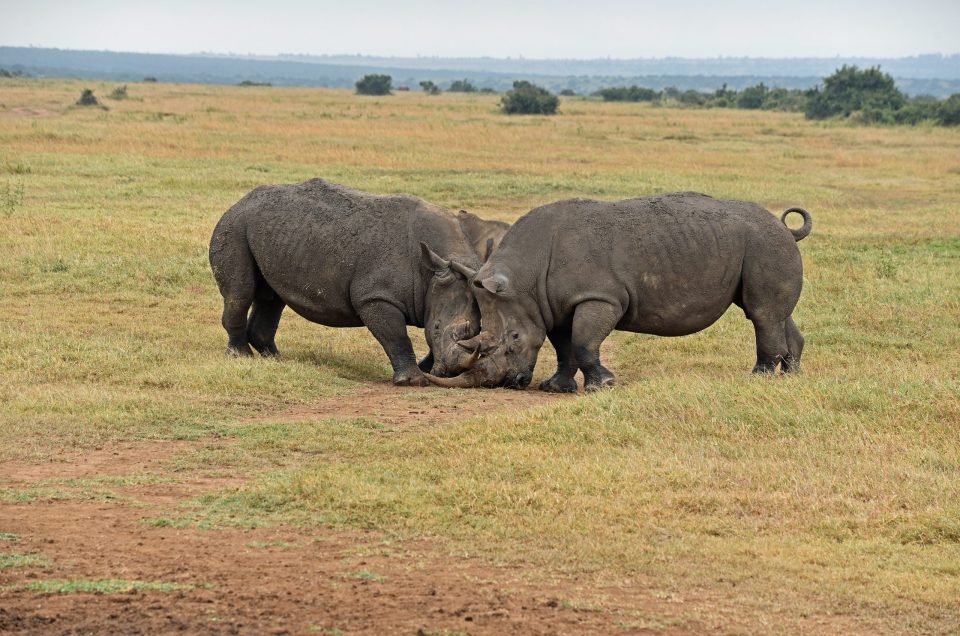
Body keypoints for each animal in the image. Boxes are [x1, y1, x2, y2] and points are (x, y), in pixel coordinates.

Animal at [209, 178, 507, 385]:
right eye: (437, 329)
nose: (452, 370)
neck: (433, 270)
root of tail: (239, 202)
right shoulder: (375, 296)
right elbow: (396, 336)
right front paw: (414, 381)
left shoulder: (435, 289)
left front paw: (427, 371)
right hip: (235, 226)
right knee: (241, 293)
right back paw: (240, 356)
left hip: (272, 233)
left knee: (272, 298)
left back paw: (277, 359)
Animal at [424, 192, 812, 391]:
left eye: (515, 340)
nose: (507, 383)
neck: (524, 279)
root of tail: (784, 227)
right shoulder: (554, 304)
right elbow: (564, 346)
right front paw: (556, 387)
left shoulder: (598, 296)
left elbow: (583, 342)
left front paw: (603, 386)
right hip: (764, 245)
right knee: (775, 314)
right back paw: (791, 376)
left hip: (764, 243)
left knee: (761, 314)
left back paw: (760, 378)